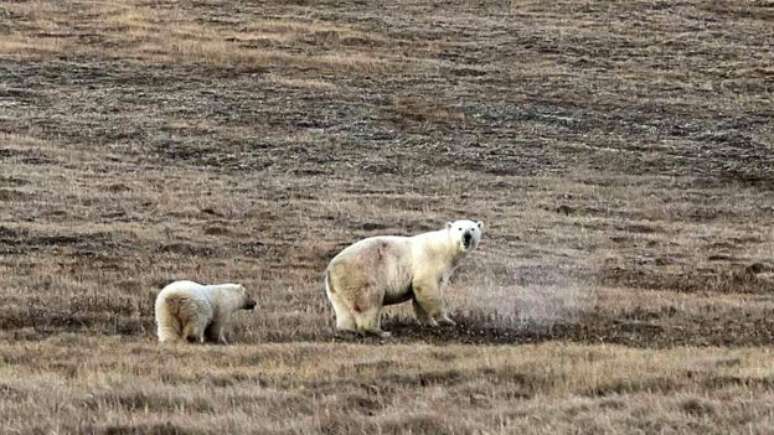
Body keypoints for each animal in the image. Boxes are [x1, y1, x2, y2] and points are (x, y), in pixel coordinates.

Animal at [326, 221, 484, 338]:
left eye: (472, 228)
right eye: (460, 228)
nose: (467, 236)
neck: (445, 247)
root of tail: (331, 269)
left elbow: (420, 296)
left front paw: (429, 323)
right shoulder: (429, 260)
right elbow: (425, 286)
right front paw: (446, 320)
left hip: (339, 287)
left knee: (343, 309)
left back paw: (347, 330)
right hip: (361, 275)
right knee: (370, 301)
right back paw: (380, 332)